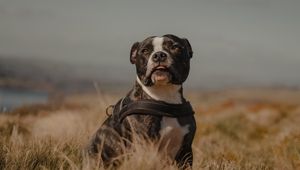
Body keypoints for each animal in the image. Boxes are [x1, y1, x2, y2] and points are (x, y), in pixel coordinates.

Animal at [85, 33, 196, 168]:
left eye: (175, 47)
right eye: (145, 51)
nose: (159, 55)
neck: (164, 97)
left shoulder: (186, 151)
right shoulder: (145, 146)